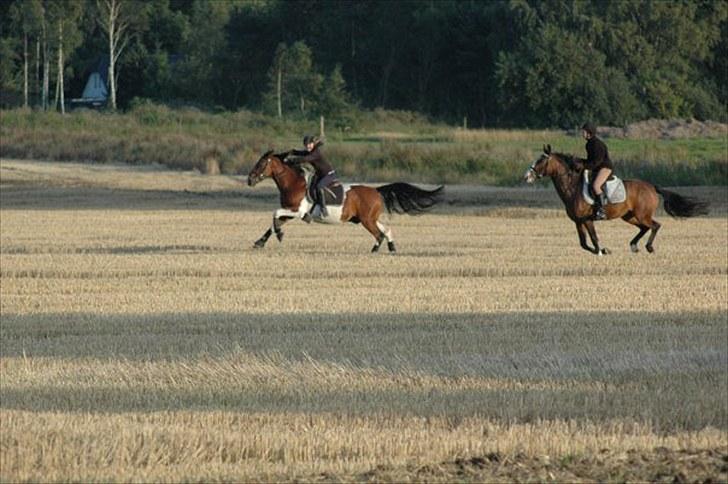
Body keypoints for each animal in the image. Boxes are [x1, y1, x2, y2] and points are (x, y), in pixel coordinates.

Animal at [247, 150, 444, 253]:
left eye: (261, 163)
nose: (249, 180)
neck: (294, 183)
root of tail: (376, 190)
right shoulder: (290, 212)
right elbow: (273, 223)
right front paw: (260, 242)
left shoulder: (297, 211)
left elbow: (275, 215)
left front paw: (279, 235)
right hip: (370, 218)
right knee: (386, 230)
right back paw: (392, 247)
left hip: (366, 220)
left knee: (378, 234)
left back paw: (375, 250)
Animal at [528, 144, 708, 255]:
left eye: (541, 160)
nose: (527, 176)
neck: (572, 187)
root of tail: (652, 187)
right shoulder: (578, 221)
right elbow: (583, 243)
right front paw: (602, 251)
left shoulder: (587, 219)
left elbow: (593, 238)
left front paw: (602, 251)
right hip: (629, 216)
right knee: (644, 228)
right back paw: (634, 246)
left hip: (642, 215)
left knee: (655, 226)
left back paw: (649, 247)